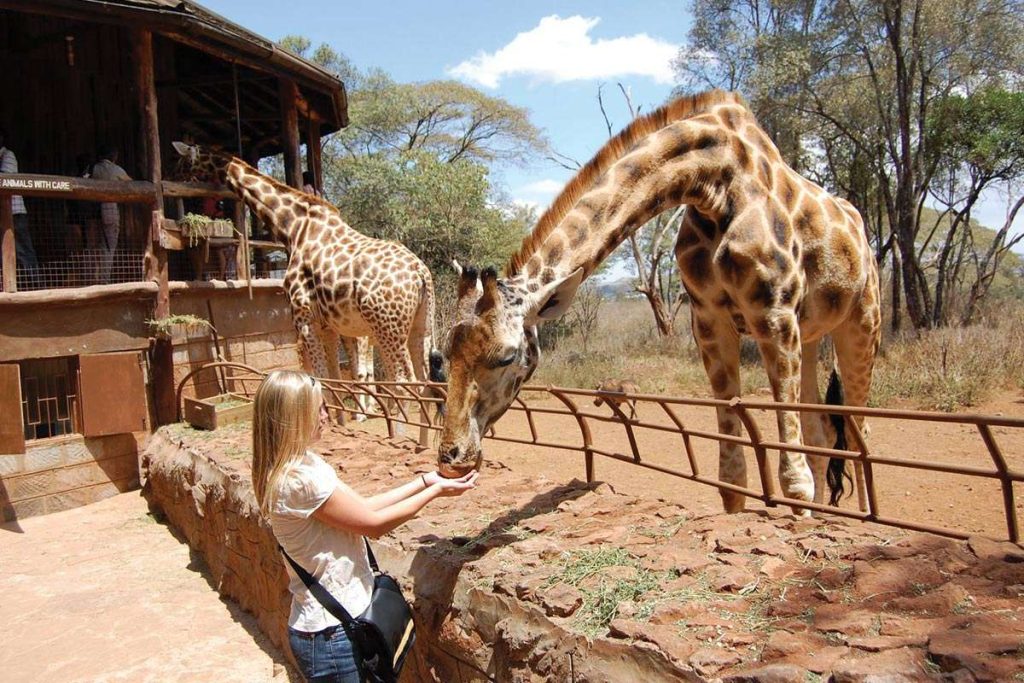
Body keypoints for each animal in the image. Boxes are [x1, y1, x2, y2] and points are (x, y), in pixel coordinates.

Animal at [171, 142, 445, 428]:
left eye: (181, 162)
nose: (173, 180)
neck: (293, 228)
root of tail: (421, 272)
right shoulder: (329, 325)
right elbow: (335, 377)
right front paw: (340, 421)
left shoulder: (302, 318)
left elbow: (320, 378)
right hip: (420, 325)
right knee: (425, 380)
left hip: (387, 327)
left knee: (404, 381)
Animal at [436, 90, 881, 515]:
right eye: (444, 354)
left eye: (507, 356)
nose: (451, 457)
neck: (714, 183)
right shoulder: (709, 321)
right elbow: (732, 474)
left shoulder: (774, 313)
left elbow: (794, 476)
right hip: (811, 334)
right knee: (821, 428)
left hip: (861, 323)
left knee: (861, 432)